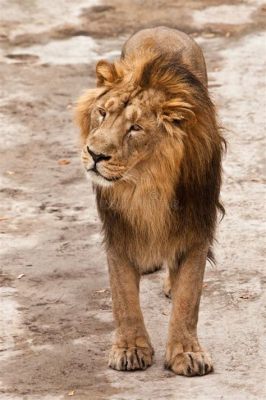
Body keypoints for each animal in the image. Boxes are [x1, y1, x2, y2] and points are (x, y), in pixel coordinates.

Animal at [75, 27, 224, 376]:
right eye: (102, 113)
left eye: (135, 128)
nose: (95, 154)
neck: (145, 183)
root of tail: (161, 28)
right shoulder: (118, 228)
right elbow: (123, 297)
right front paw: (130, 349)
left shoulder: (196, 225)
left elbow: (189, 297)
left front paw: (187, 352)